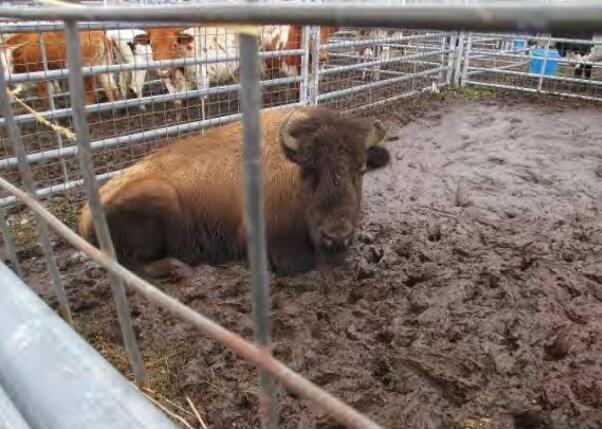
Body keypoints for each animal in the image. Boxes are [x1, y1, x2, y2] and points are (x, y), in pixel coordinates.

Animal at [78, 105, 390, 276]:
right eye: (306, 170)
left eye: (362, 168)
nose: (336, 235)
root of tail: (85, 215)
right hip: (158, 195)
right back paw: (178, 268)